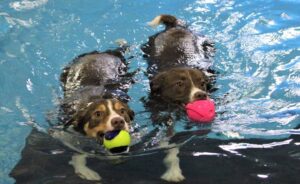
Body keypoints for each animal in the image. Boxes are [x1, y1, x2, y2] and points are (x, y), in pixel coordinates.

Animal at [59, 43, 135, 181]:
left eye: (122, 111)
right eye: (98, 114)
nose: (118, 121)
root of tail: (103, 52)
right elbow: (77, 152)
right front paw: (85, 171)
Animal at [142, 14, 216, 183]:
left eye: (202, 83)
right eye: (179, 84)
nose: (201, 95)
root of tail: (174, 26)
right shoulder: (159, 115)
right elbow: (168, 140)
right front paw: (173, 170)